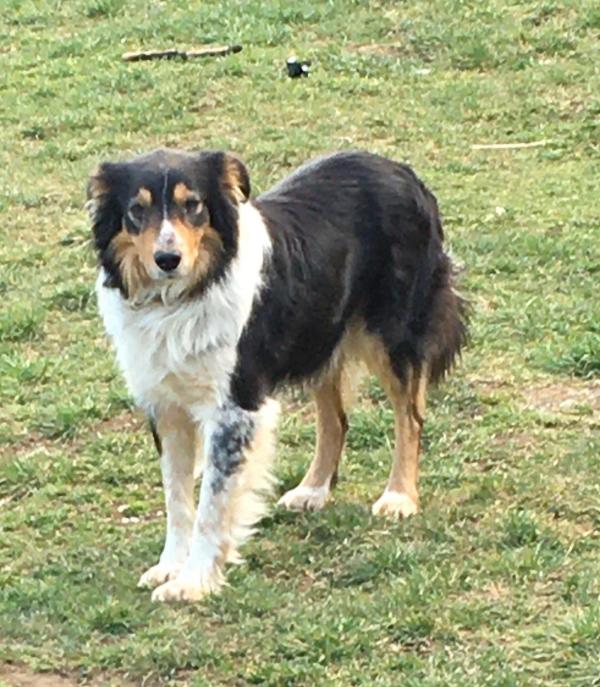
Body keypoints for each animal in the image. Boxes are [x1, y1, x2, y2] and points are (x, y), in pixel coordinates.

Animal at [86, 149, 466, 600]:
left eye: (192, 205)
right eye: (136, 210)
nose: (167, 260)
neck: (185, 296)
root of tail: (400, 169)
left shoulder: (235, 407)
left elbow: (211, 505)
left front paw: (194, 582)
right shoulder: (166, 407)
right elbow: (177, 500)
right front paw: (170, 567)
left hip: (393, 335)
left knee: (410, 415)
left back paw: (399, 496)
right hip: (321, 334)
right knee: (336, 420)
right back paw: (313, 490)